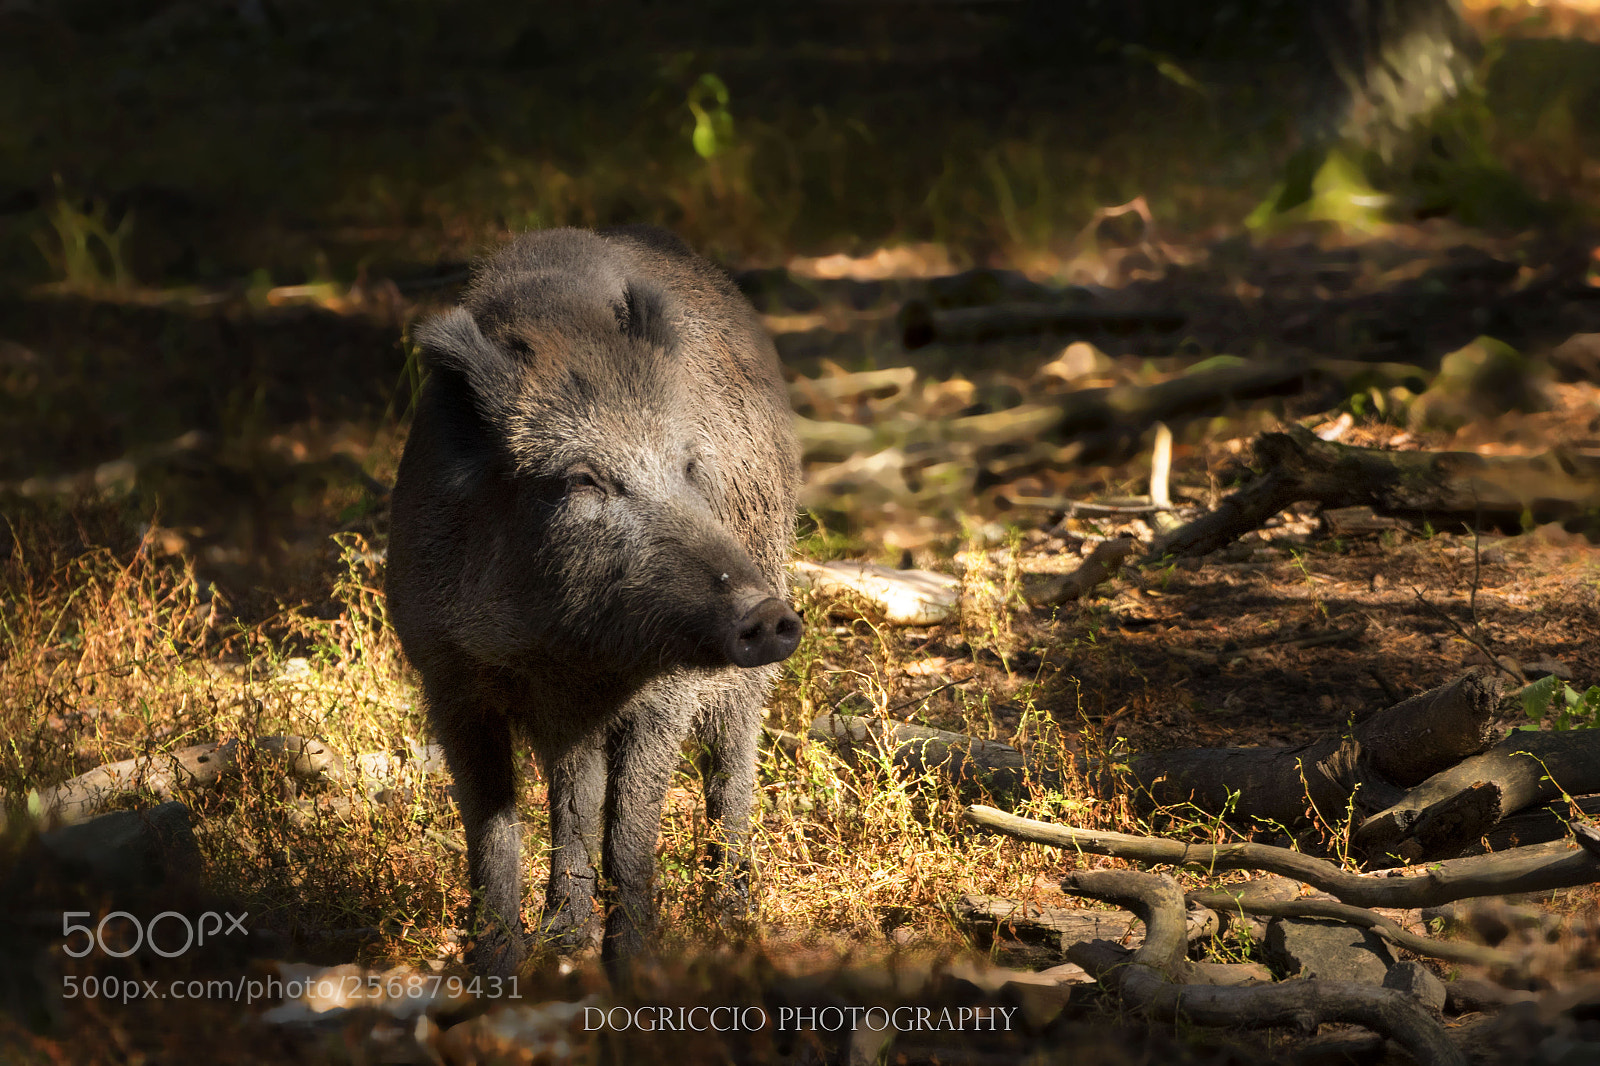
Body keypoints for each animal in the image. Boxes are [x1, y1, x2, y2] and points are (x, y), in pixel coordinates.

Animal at [384, 226, 801, 979]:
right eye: (582, 479)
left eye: (689, 465)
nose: (764, 613)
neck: (562, 650)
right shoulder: (447, 678)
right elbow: (493, 831)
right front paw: (494, 968)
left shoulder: (668, 691)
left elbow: (631, 828)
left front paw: (633, 967)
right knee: (574, 789)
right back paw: (563, 937)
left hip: (757, 631)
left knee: (732, 762)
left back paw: (733, 918)